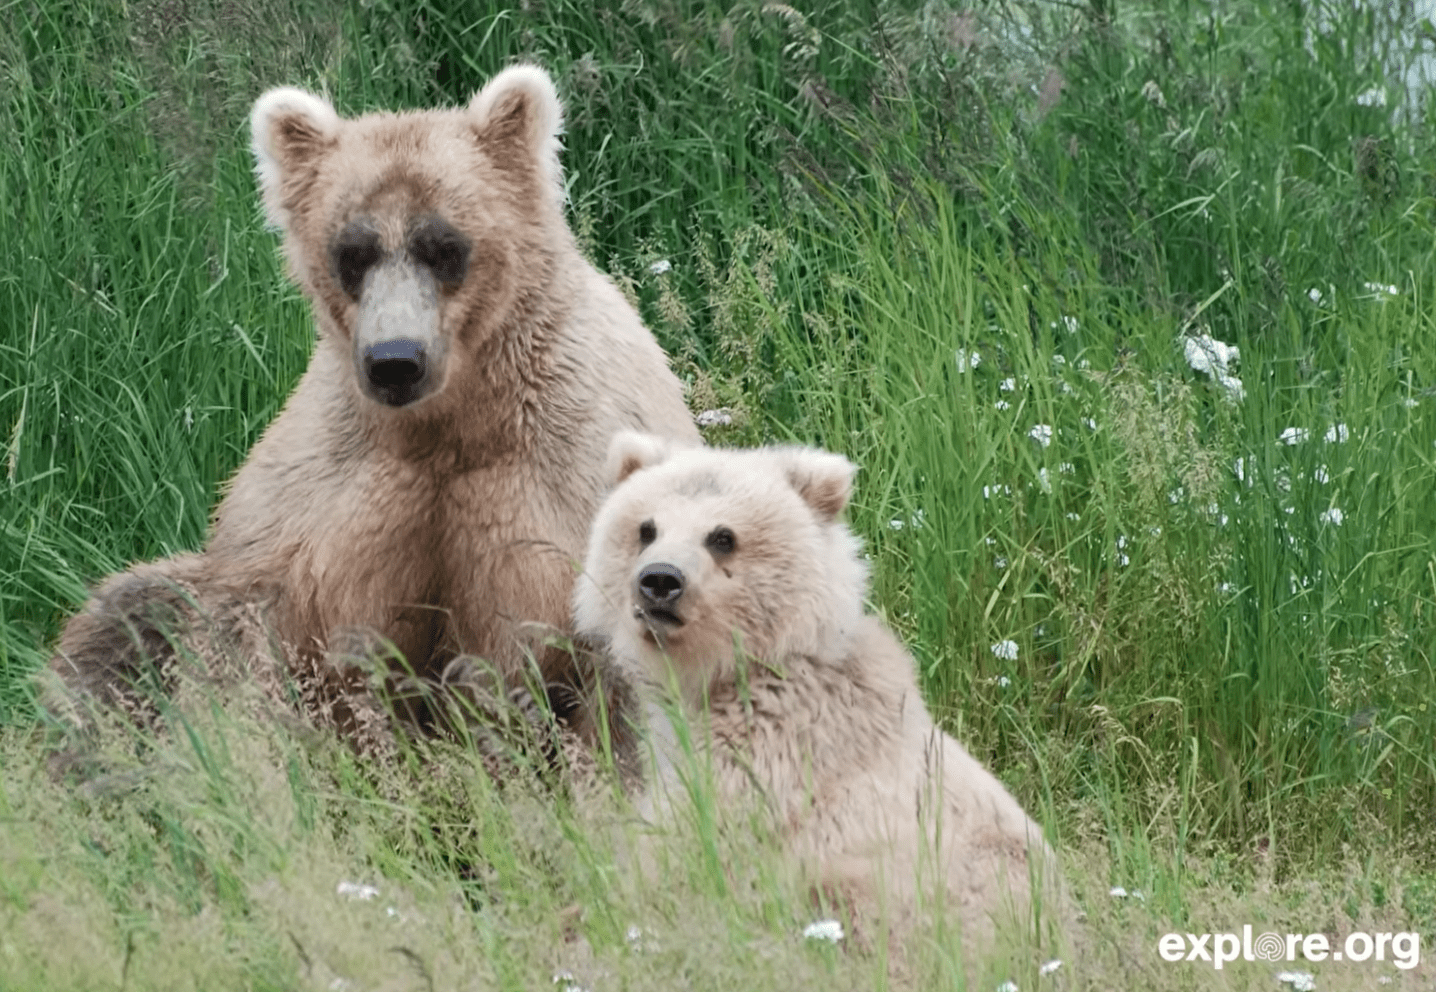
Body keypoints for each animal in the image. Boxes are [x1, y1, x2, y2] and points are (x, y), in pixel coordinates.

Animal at [46, 65, 701, 759]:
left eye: (443, 245)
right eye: (353, 251)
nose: (395, 360)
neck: (452, 419)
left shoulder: (561, 469)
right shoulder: (332, 489)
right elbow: (253, 633)